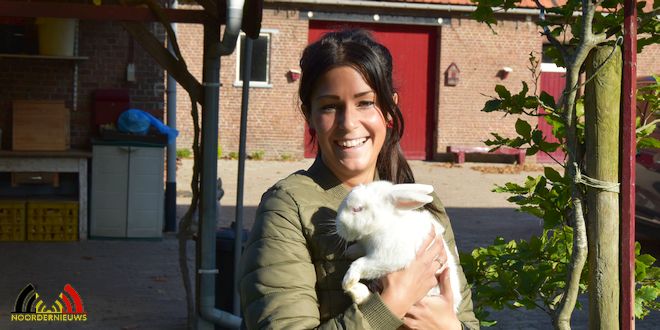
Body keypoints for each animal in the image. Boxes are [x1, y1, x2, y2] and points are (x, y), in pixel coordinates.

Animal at [338, 180, 462, 312]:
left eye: (357, 209)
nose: (338, 226)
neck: (383, 223)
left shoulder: (387, 257)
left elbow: (360, 264)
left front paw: (347, 280)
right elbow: (359, 250)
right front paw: (349, 252)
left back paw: (353, 289)